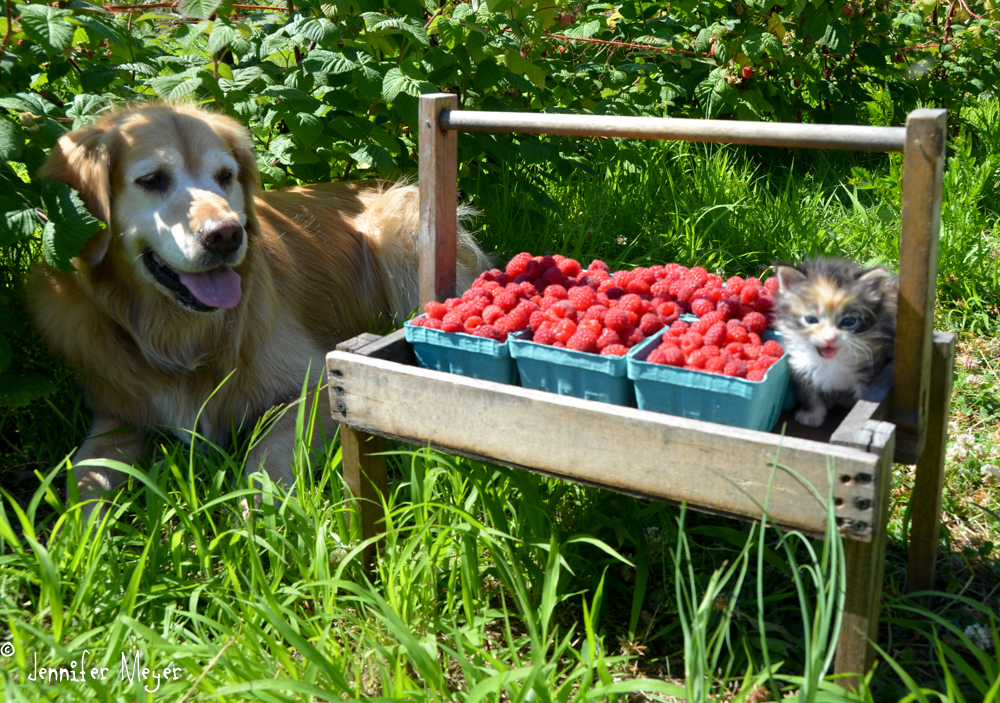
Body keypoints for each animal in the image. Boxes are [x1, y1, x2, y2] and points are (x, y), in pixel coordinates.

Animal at [28, 103, 488, 512]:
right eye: (152, 179)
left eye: (225, 176)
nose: (227, 235)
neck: (181, 336)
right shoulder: (116, 414)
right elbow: (83, 478)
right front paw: (73, 543)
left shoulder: (319, 385)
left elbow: (263, 455)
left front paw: (260, 522)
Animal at [772, 258, 900, 426]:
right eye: (811, 320)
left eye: (849, 321)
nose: (829, 338)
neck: (831, 361)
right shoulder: (800, 367)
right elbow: (808, 393)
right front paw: (812, 415)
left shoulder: (869, 368)